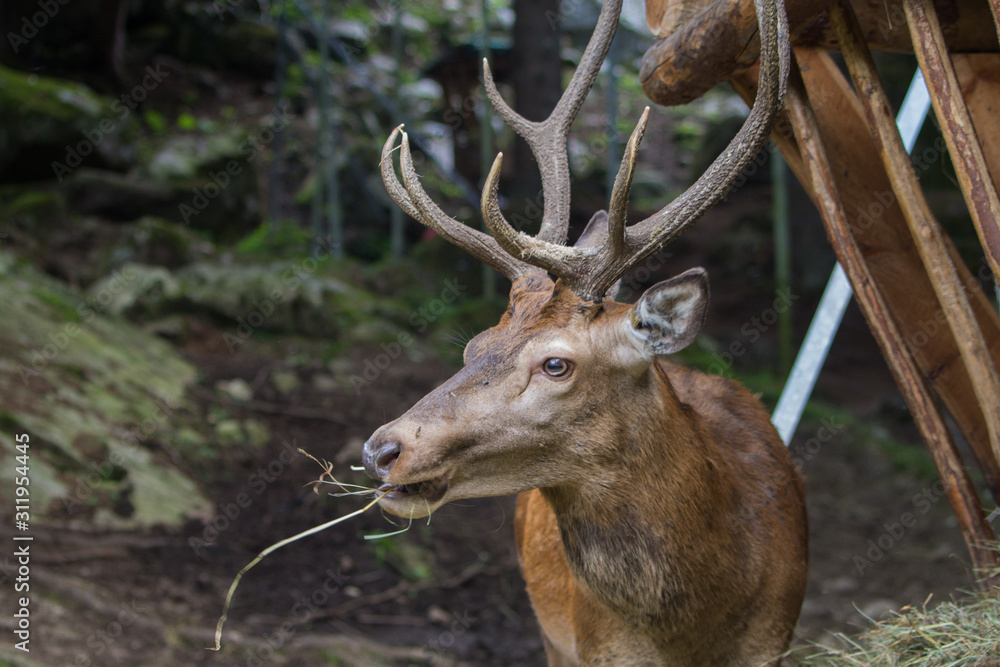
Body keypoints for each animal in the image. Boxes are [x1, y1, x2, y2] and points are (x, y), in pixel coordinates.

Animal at [361, 0, 807, 663]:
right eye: (474, 347)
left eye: (556, 364)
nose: (383, 449)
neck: (698, 629)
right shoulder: (593, 643)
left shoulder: (773, 639)